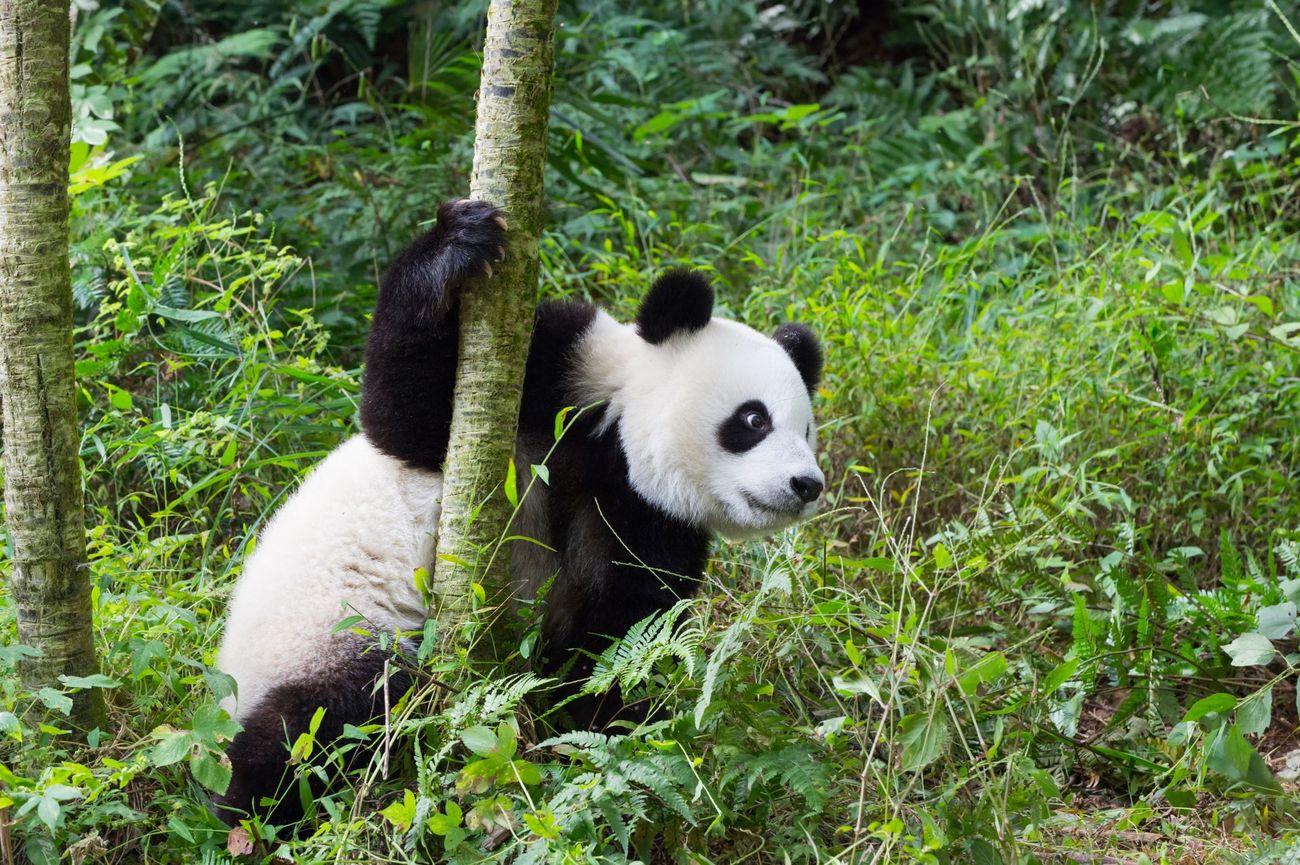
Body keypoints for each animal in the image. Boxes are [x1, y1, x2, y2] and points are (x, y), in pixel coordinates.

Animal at [213, 197, 821, 822]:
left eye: (805, 431)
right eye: (754, 420)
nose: (807, 485)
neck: (616, 450)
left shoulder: (647, 523)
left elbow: (614, 640)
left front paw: (611, 741)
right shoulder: (557, 372)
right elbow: (407, 421)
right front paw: (456, 241)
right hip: (331, 634)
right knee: (328, 718)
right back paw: (256, 810)